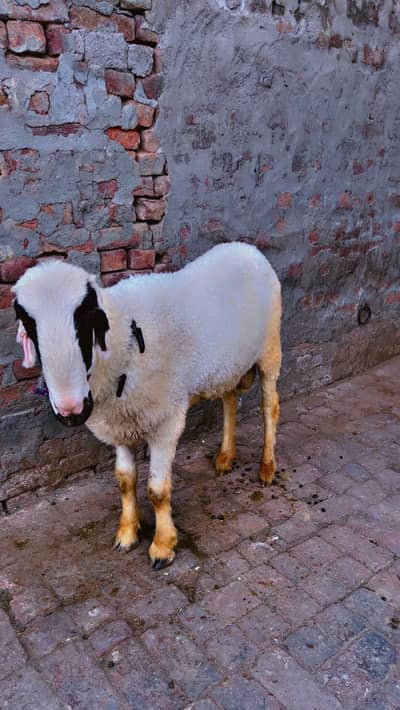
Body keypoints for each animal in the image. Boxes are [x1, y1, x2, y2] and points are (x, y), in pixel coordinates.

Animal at [13, 243, 281, 570]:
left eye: (85, 318)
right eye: (29, 326)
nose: (71, 409)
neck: (125, 344)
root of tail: (246, 248)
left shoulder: (166, 420)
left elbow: (157, 490)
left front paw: (163, 545)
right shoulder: (119, 424)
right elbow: (125, 480)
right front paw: (127, 533)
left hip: (270, 348)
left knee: (270, 407)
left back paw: (266, 468)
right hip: (227, 366)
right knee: (229, 401)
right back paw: (225, 458)